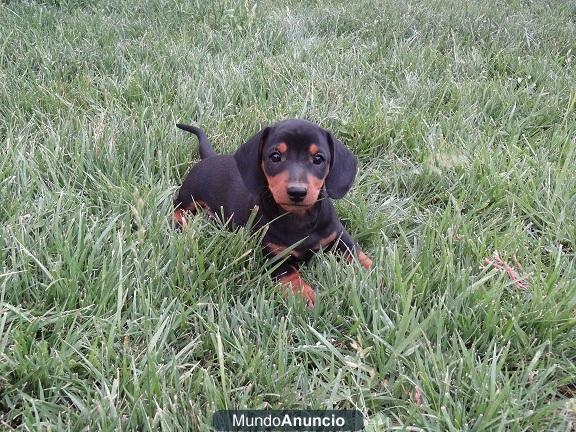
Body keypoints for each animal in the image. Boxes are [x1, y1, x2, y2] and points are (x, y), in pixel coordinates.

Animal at [176, 118, 372, 308]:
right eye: (275, 156)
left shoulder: (338, 235)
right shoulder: (273, 254)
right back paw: (182, 225)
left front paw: (374, 273)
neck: (299, 218)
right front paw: (303, 295)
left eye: (318, 159)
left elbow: (356, 253)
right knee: (177, 209)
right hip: (188, 195)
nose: (297, 192)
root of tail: (210, 158)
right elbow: (289, 274)